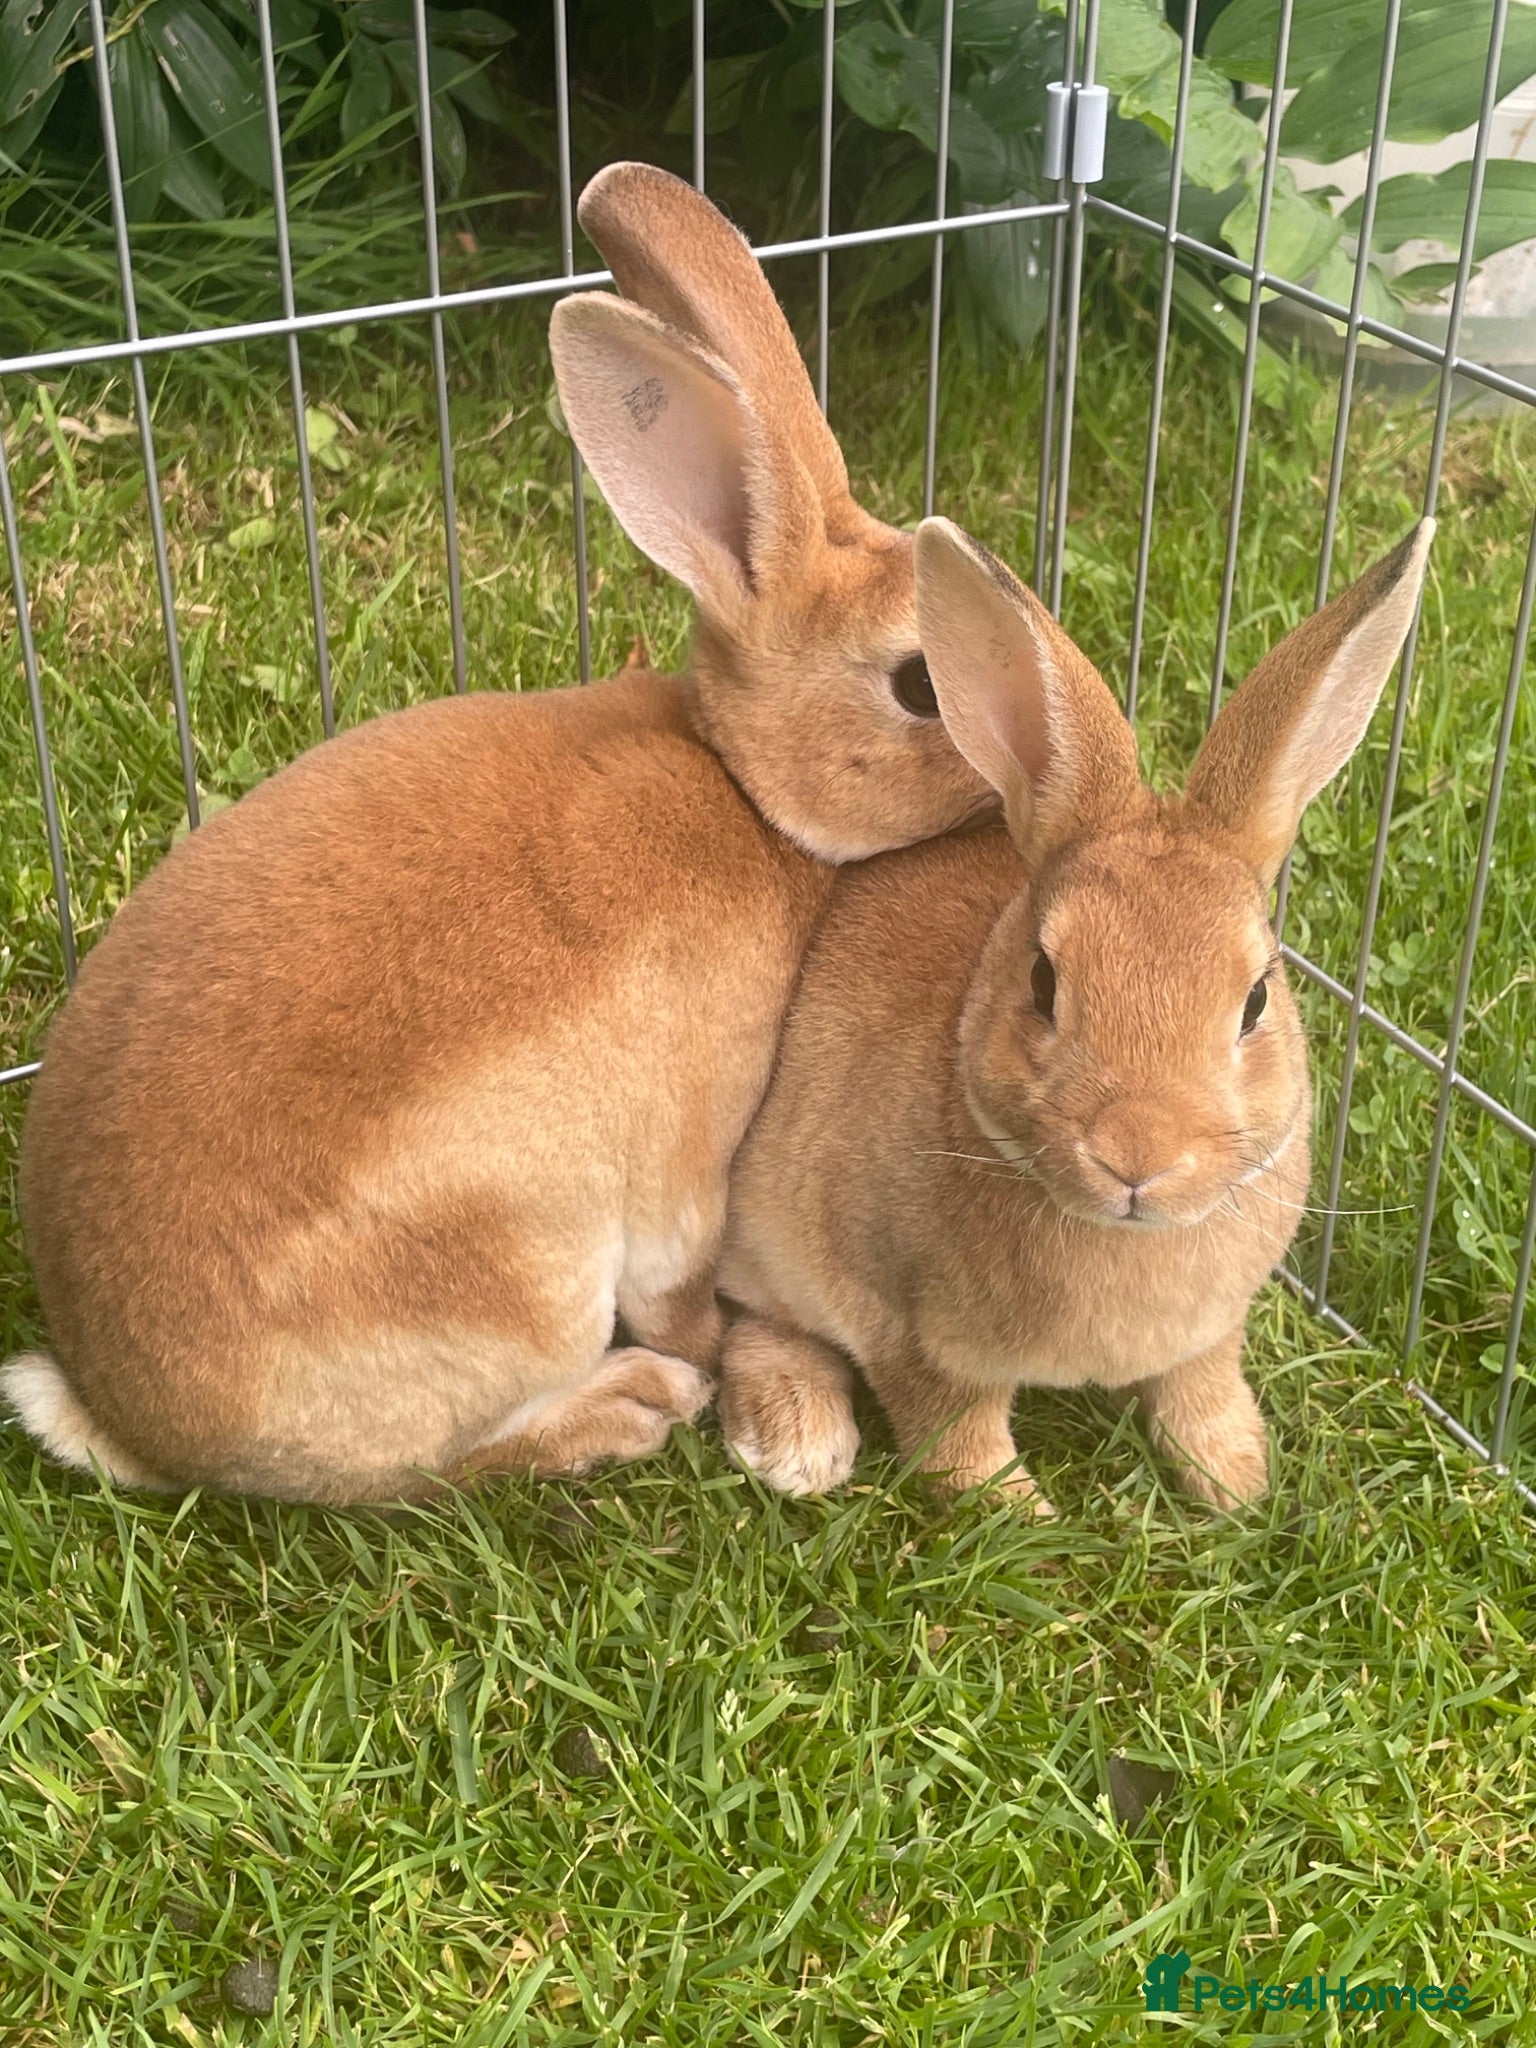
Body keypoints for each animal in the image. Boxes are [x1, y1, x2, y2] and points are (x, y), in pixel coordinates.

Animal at [1, 163, 991, 1504]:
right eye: (923, 686)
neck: (740, 787)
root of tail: (133, 1420)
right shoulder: (688, 1151)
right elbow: (682, 1276)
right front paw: (708, 1354)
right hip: (521, 1277)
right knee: (442, 1464)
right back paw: (633, 1403)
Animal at [716, 514, 1434, 1512]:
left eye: (1257, 998)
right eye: (1043, 981)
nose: (1137, 1156)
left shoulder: (1212, 1331)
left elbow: (1201, 1385)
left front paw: (1235, 1480)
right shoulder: (909, 1331)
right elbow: (954, 1431)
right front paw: (1019, 1512)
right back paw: (797, 1438)